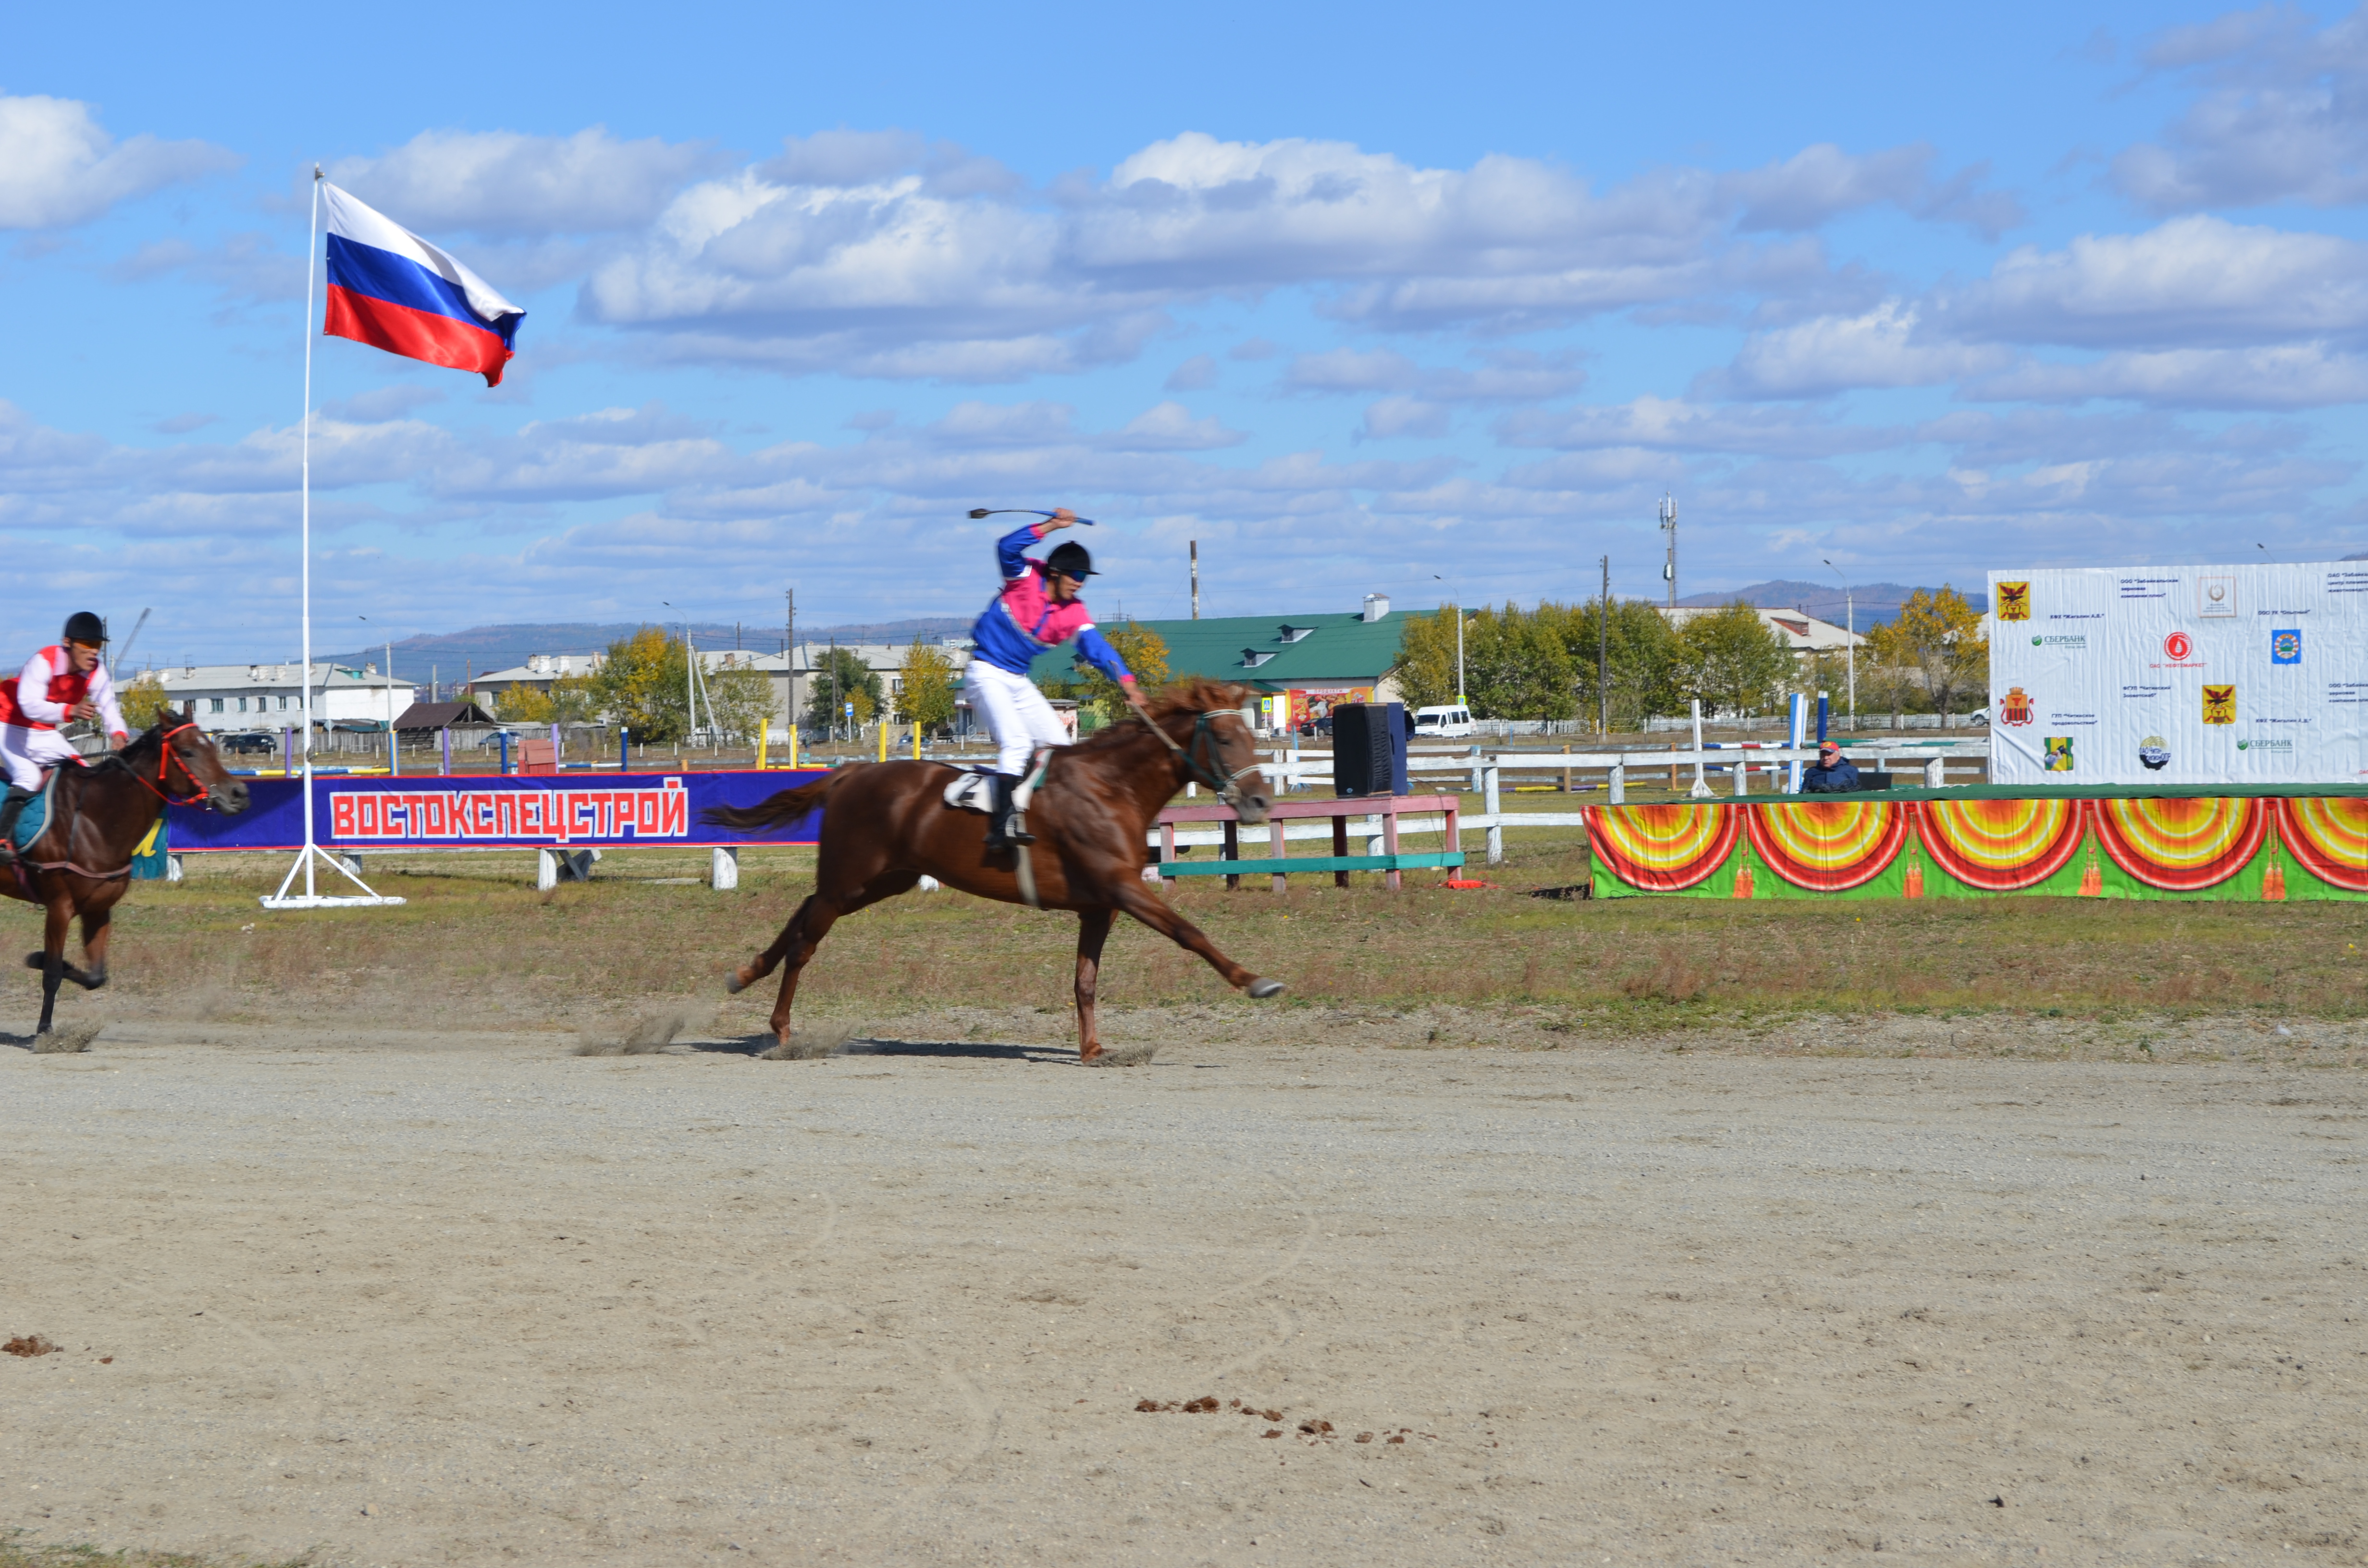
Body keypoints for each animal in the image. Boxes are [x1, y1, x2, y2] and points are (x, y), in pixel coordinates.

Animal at [6, 720, 251, 1037]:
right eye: (187, 752)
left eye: (210, 746)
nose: (239, 793)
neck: (91, 820)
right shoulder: (59, 907)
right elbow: (52, 972)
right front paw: (45, 1030)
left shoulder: (98, 909)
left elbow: (96, 977)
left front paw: (36, 958)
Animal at [701, 682, 1288, 1061]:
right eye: (1226, 740)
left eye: (1251, 736)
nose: (1260, 801)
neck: (1111, 787)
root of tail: (848, 775)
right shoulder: (1123, 889)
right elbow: (1190, 933)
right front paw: (1254, 980)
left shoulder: (1100, 906)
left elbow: (1085, 980)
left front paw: (1093, 1048)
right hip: (852, 876)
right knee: (806, 942)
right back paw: (780, 1031)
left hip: (881, 879)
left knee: (803, 910)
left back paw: (746, 973)